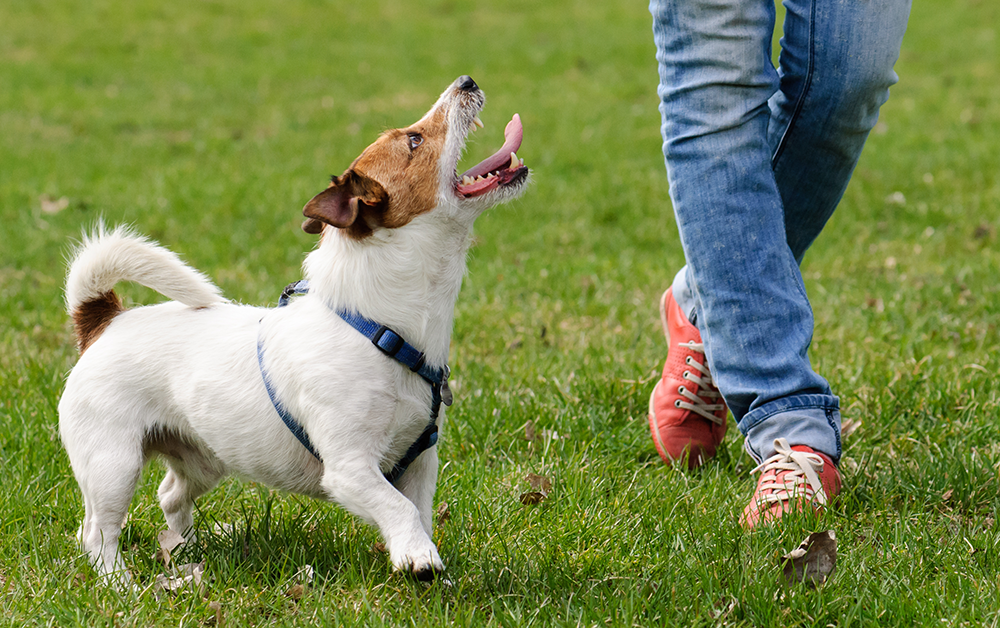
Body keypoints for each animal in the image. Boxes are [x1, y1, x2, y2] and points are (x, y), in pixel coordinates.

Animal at [57, 77, 532, 584]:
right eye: (414, 140)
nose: (467, 81)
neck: (380, 328)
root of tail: (105, 320)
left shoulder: (420, 463)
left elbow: (417, 513)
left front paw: (423, 561)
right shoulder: (349, 468)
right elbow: (398, 508)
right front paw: (419, 558)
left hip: (202, 458)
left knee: (169, 495)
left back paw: (185, 551)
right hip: (113, 464)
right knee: (98, 532)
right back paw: (121, 584)